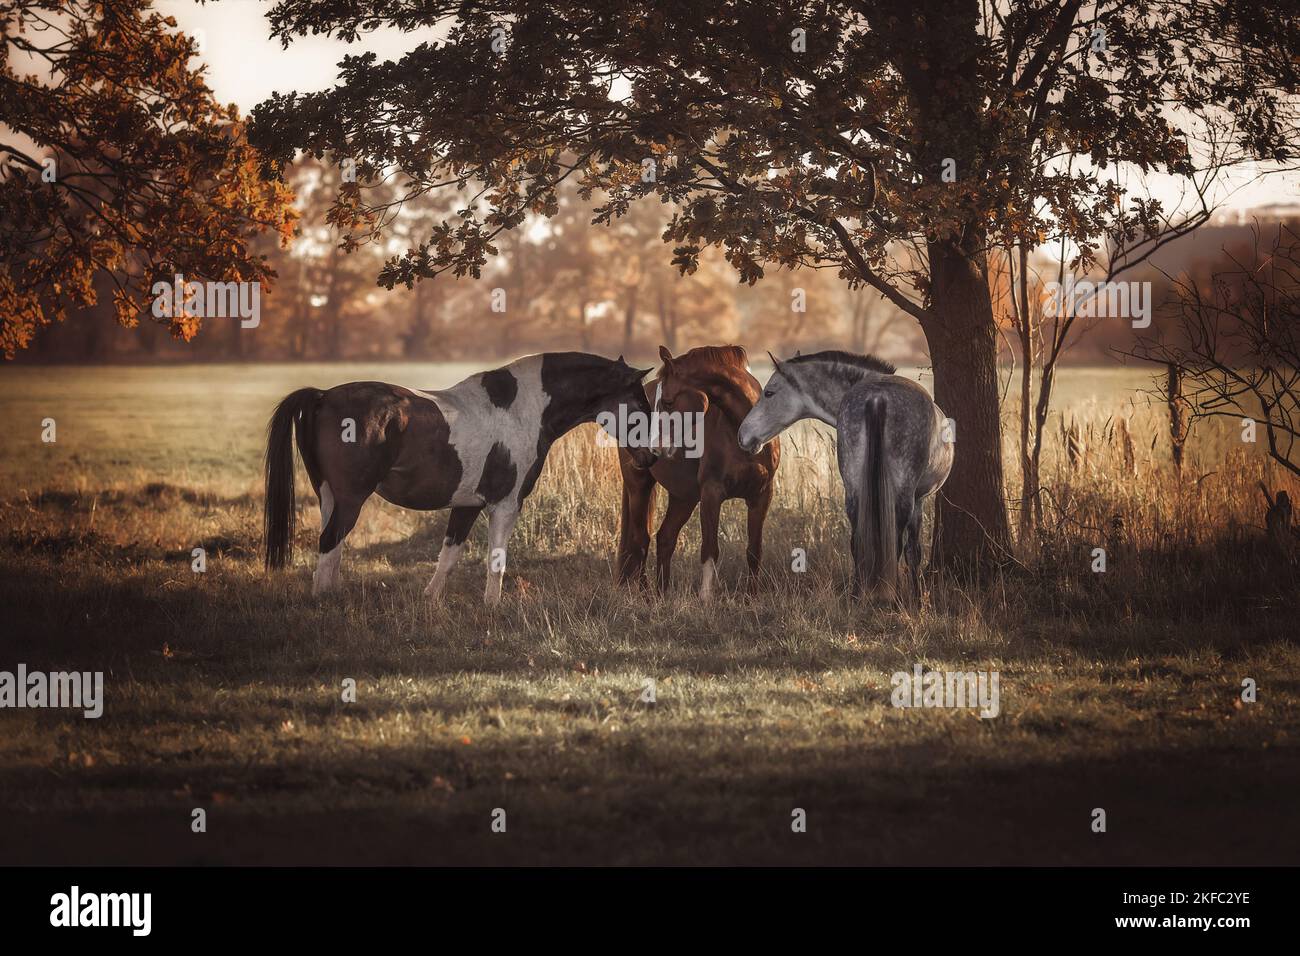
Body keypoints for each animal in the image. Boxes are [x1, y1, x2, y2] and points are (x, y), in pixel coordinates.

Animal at [264, 352, 655, 605]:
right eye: (640, 405)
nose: (652, 456)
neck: (521, 409)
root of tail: (322, 396)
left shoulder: (468, 505)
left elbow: (449, 555)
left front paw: (431, 600)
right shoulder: (505, 505)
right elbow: (496, 560)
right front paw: (492, 607)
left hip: (329, 497)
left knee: (333, 547)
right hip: (350, 499)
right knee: (330, 542)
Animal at [616, 345, 780, 600]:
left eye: (668, 402)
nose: (653, 447)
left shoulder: (761, 496)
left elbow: (754, 550)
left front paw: (751, 597)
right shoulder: (711, 494)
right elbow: (710, 549)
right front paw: (706, 598)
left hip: (683, 497)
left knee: (665, 538)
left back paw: (662, 593)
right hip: (638, 485)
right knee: (640, 540)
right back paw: (645, 595)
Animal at [737, 350, 952, 606]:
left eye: (769, 392)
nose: (742, 435)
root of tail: (878, 398)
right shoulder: (918, 500)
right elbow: (913, 551)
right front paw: (918, 599)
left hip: (854, 491)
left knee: (858, 542)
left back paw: (857, 595)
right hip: (901, 497)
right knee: (894, 544)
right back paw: (892, 596)